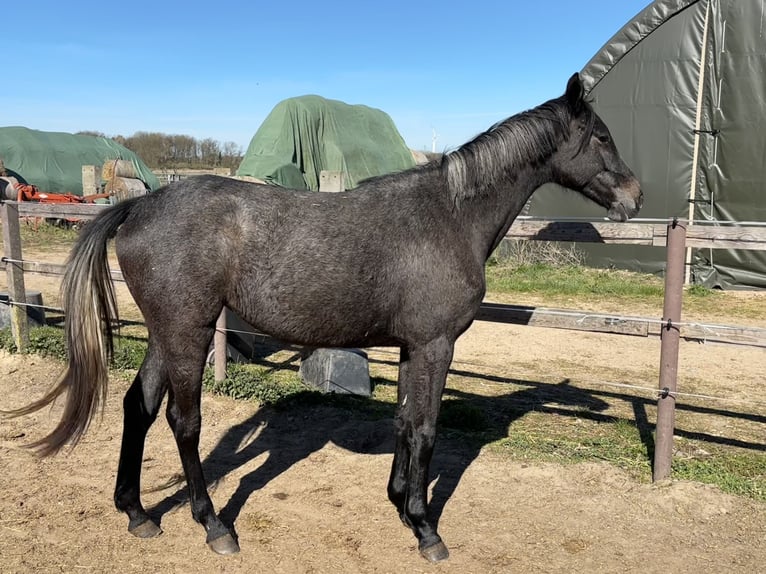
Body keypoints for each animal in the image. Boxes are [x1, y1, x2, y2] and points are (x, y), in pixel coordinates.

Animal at [8, 73, 642, 562]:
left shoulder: (411, 346)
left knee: (137, 407)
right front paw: (426, 528)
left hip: (168, 334)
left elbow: (404, 423)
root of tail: (140, 202)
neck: (449, 215)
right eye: (601, 136)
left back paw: (138, 513)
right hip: (188, 332)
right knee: (183, 423)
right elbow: (427, 429)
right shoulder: (436, 344)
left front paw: (400, 506)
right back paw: (214, 525)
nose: (634, 197)